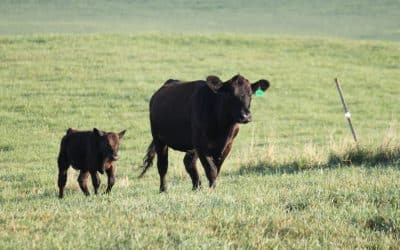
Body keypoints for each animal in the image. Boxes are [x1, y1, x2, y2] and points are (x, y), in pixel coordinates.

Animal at [140, 74, 268, 191]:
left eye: (250, 94)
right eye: (229, 94)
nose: (245, 116)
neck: (222, 128)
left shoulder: (227, 145)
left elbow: (217, 168)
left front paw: (213, 188)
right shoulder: (201, 145)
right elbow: (211, 169)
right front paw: (212, 190)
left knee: (189, 162)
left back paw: (197, 187)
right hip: (159, 139)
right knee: (163, 165)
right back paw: (164, 189)